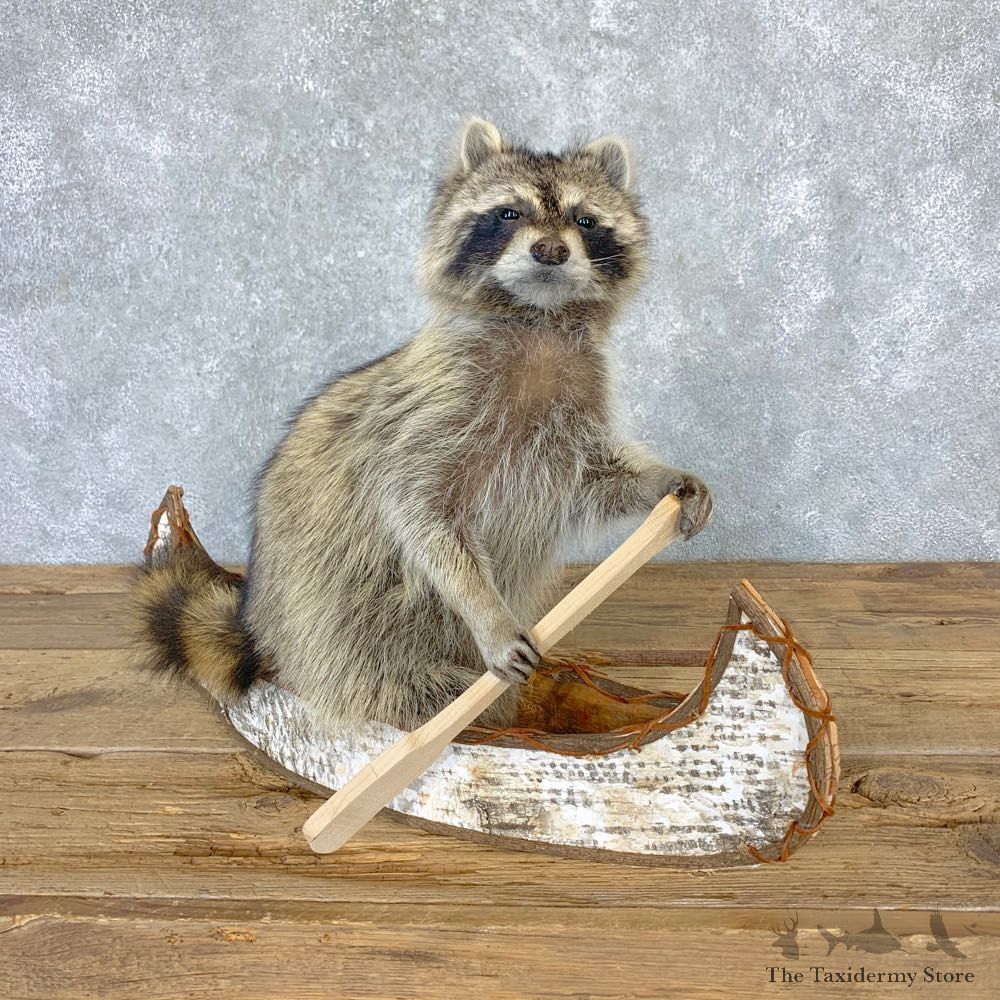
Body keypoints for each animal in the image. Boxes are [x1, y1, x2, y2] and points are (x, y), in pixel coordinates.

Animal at [129, 118, 713, 732]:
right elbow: (420, 511)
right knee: (390, 680)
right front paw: (487, 612)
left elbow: (589, 478)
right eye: (509, 213)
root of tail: (259, 630)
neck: (537, 317)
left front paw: (658, 480)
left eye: (584, 220)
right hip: (337, 635)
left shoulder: (572, 410)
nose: (550, 251)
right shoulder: (431, 411)